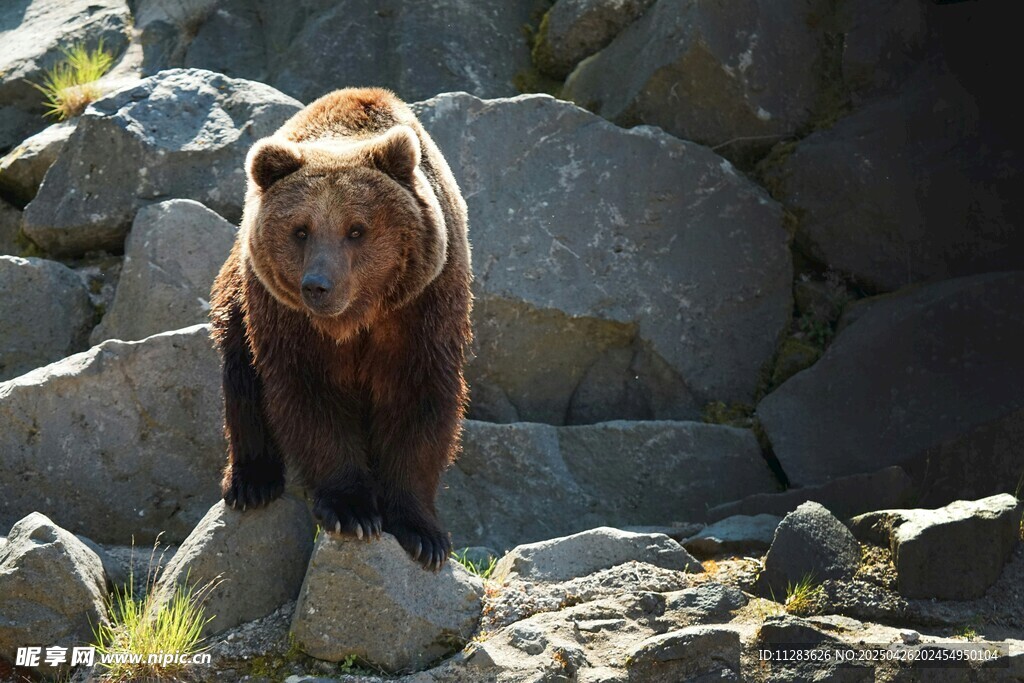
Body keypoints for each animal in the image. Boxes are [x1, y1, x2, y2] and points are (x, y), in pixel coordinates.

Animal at [209, 88, 472, 571]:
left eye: (356, 229)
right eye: (301, 230)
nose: (318, 285)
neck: (355, 319)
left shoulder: (422, 310)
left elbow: (420, 403)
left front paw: (423, 534)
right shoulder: (290, 322)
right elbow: (310, 398)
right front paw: (353, 510)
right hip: (240, 295)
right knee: (241, 373)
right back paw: (252, 480)